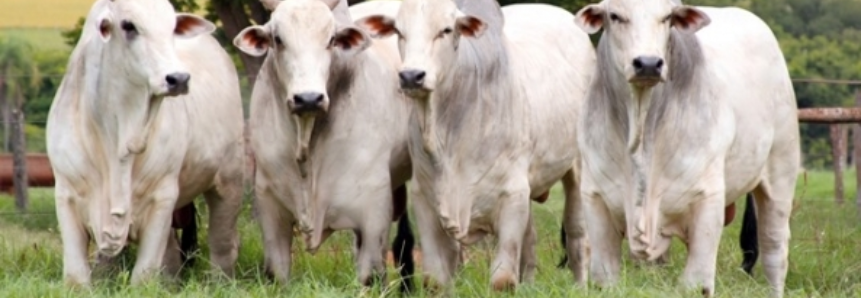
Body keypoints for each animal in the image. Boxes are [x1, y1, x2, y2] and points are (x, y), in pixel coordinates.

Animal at [46, 0, 244, 286]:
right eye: (129, 26)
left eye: (172, 27)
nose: (179, 79)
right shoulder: (66, 194)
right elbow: (76, 275)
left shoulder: (162, 195)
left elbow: (145, 274)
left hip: (229, 179)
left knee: (222, 244)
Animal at [232, 0, 414, 292]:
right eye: (278, 39)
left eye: (330, 39)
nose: (308, 98)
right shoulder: (270, 206)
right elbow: (277, 273)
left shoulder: (373, 211)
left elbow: (370, 275)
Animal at [572, 1, 800, 296]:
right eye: (615, 16)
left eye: (667, 17)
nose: (648, 63)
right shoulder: (595, 198)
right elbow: (604, 278)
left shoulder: (707, 199)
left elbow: (696, 283)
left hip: (781, 172)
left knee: (774, 251)